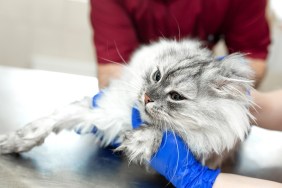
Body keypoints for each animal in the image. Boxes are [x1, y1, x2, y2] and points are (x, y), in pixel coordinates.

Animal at [0, 39, 253, 169]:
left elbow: (160, 131)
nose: (147, 97)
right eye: (157, 76)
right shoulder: (99, 109)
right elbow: (48, 122)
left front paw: (140, 141)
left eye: (176, 97)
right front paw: (14, 143)